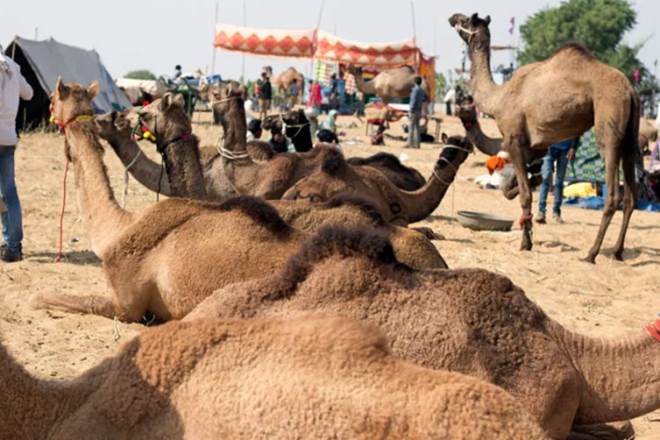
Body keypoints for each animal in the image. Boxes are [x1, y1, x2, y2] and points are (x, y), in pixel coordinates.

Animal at [449, 13, 639, 263]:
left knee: (613, 194)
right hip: (631, 136)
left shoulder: (513, 140)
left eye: (466, 20)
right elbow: (514, 188)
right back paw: (617, 251)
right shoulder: (534, 147)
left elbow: (524, 196)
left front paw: (525, 243)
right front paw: (533, 182)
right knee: (631, 197)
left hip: (609, 122)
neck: (498, 98)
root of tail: (630, 91)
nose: (452, 17)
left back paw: (591, 253)